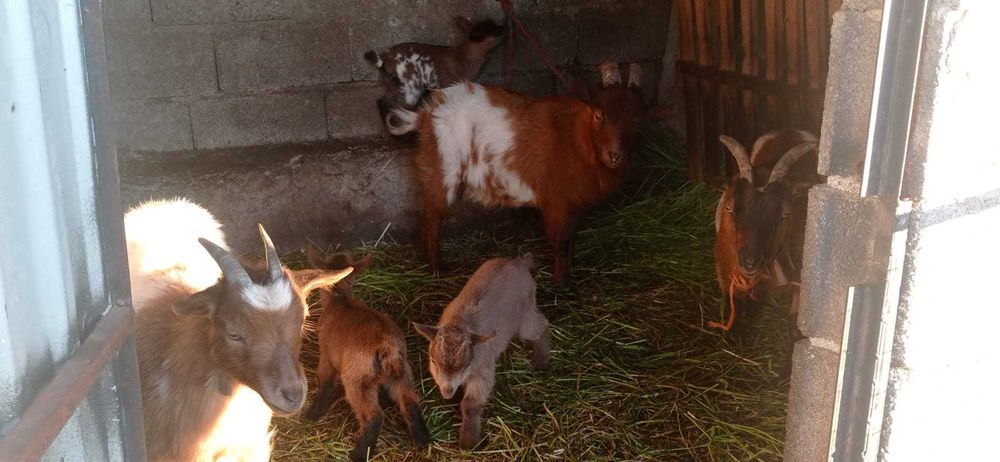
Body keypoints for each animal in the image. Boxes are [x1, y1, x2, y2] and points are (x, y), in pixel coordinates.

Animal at [303, 249, 430, 462]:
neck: (340, 299)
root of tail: (386, 345)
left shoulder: (326, 354)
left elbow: (325, 381)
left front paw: (314, 412)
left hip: (358, 378)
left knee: (373, 416)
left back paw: (359, 453)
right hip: (402, 370)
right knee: (410, 401)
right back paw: (422, 439)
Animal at [365, 16, 505, 125]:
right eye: (494, 30)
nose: (504, 27)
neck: (465, 57)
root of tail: (385, 59)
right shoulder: (448, 85)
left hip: (393, 84)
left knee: (384, 103)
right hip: (411, 85)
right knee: (400, 107)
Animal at [388, 62, 647, 283]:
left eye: (636, 120)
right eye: (598, 115)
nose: (614, 155)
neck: (575, 137)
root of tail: (426, 114)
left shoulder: (573, 204)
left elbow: (571, 238)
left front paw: (570, 271)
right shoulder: (556, 202)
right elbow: (560, 241)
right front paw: (561, 283)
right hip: (443, 169)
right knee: (432, 218)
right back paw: (436, 268)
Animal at [413, 254, 549, 449]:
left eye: (467, 364)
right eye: (433, 361)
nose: (447, 391)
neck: (459, 323)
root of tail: (519, 261)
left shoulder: (483, 370)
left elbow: (470, 405)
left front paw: (468, 441)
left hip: (526, 312)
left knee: (540, 326)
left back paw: (542, 360)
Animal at [713, 130, 823, 337]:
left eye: (786, 213)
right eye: (729, 208)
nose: (750, 261)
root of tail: (790, 131)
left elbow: (794, 328)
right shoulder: (726, 279)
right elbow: (734, 321)